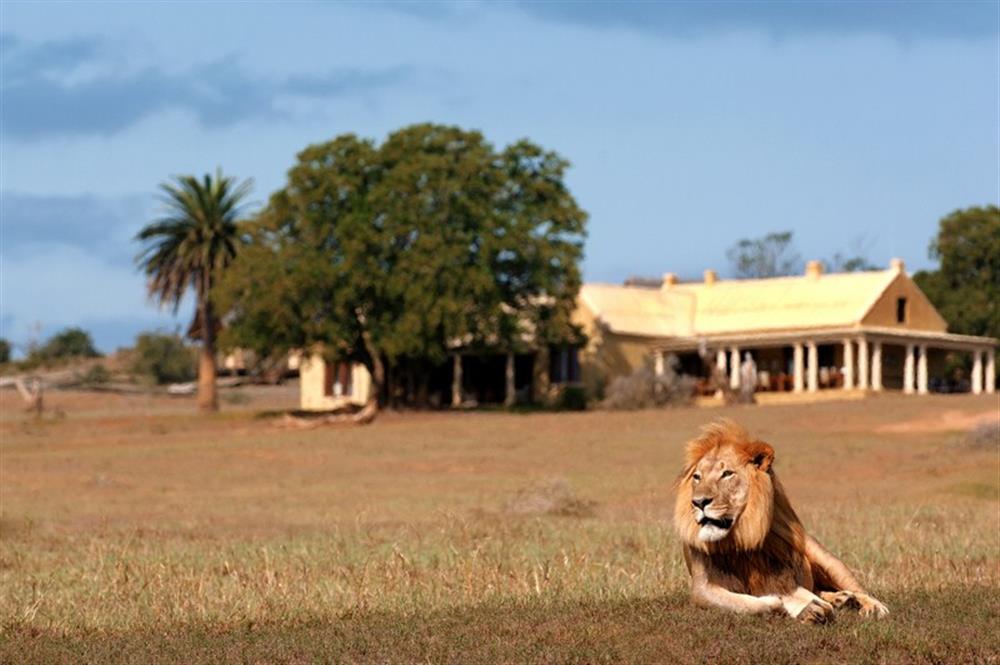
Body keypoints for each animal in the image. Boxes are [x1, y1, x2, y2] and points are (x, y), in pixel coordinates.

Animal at [676, 420, 888, 624]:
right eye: (697, 477)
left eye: (727, 473)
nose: (698, 502)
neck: (741, 537)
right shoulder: (702, 589)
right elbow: (745, 603)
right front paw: (793, 607)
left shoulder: (781, 577)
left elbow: (795, 593)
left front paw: (808, 607)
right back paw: (841, 599)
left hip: (827, 560)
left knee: (857, 588)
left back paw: (872, 606)